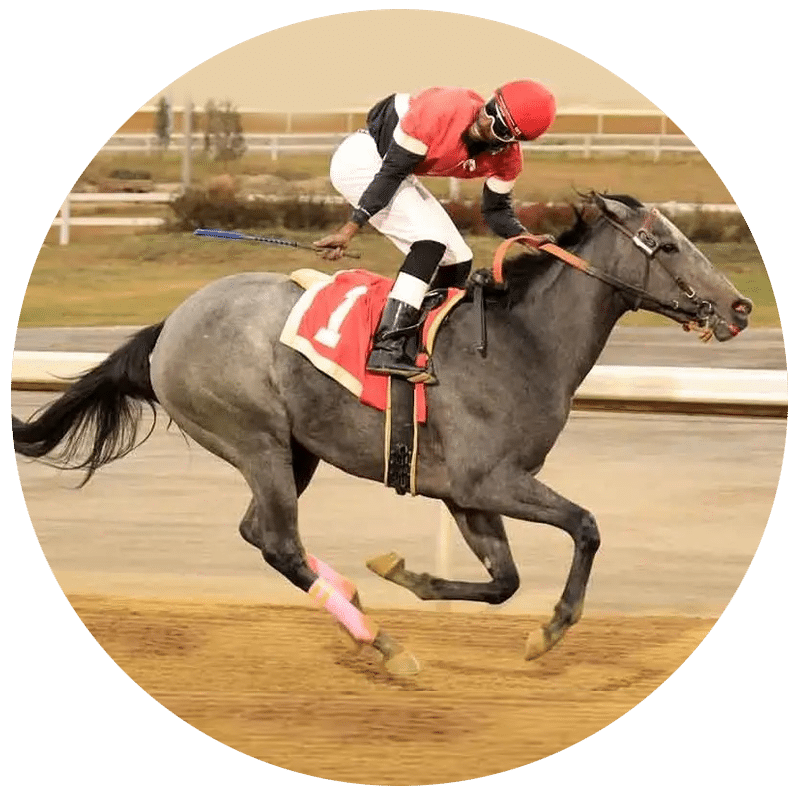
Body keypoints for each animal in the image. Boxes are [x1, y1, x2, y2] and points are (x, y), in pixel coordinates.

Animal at [12, 192, 752, 675]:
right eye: (668, 245)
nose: (741, 306)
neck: (522, 342)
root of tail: (169, 326)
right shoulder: (492, 480)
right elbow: (587, 526)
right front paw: (551, 630)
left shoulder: (465, 493)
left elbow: (504, 582)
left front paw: (400, 571)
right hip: (253, 437)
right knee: (279, 542)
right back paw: (384, 645)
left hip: (294, 450)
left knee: (259, 533)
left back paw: (351, 592)